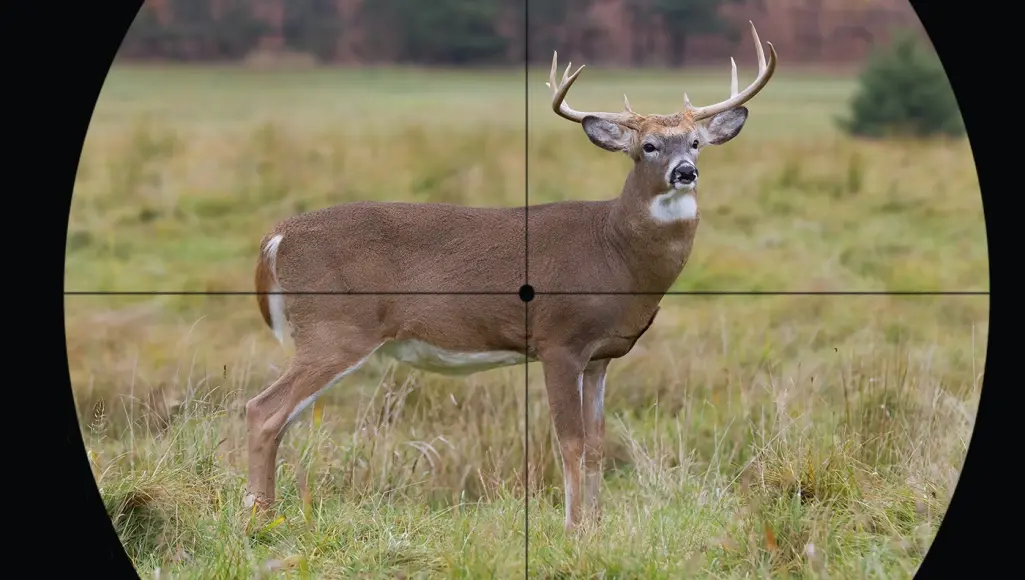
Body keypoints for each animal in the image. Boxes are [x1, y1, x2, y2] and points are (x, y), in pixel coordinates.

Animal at [246, 20, 774, 532]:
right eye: (647, 146)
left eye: (696, 143)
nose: (685, 172)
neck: (616, 254)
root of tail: (277, 236)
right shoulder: (558, 339)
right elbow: (570, 442)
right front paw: (573, 529)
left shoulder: (601, 356)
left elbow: (598, 444)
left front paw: (598, 526)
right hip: (334, 327)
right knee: (263, 410)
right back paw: (261, 518)